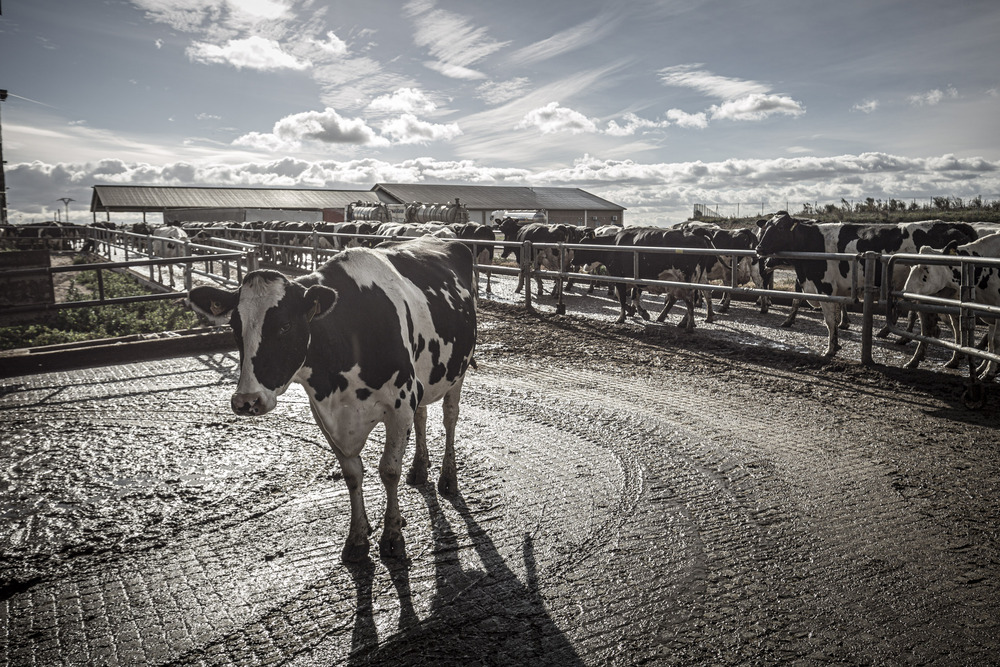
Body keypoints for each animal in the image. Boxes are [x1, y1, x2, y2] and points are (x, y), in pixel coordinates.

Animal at [192, 237, 484, 560]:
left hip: (458, 371)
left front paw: (392, 535)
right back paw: (419, 468)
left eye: (285, 326)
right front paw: (357, 537)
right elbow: (352, 474)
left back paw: (448, 478)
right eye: (234, 327)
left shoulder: (400, 405)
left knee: (450, 418)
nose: (246, 400)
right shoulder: (325, 414)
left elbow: (389, 470)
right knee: (422, 415)